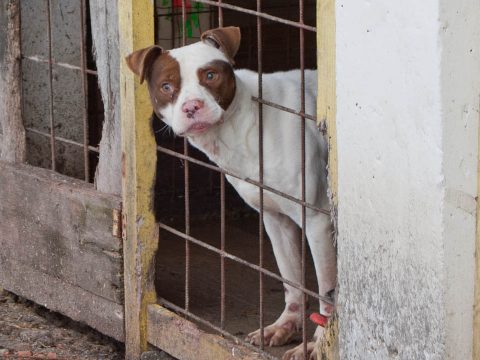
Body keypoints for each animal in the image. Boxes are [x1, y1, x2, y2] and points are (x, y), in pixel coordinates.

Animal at [127, 26, 338, 360]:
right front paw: (285, 325)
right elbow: (291, 279)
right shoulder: (275, 218)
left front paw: (319, 344)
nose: (191, 107)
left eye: (210, 75)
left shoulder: (318, 220)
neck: (242, 127)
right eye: (166, 86)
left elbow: (326, 291)